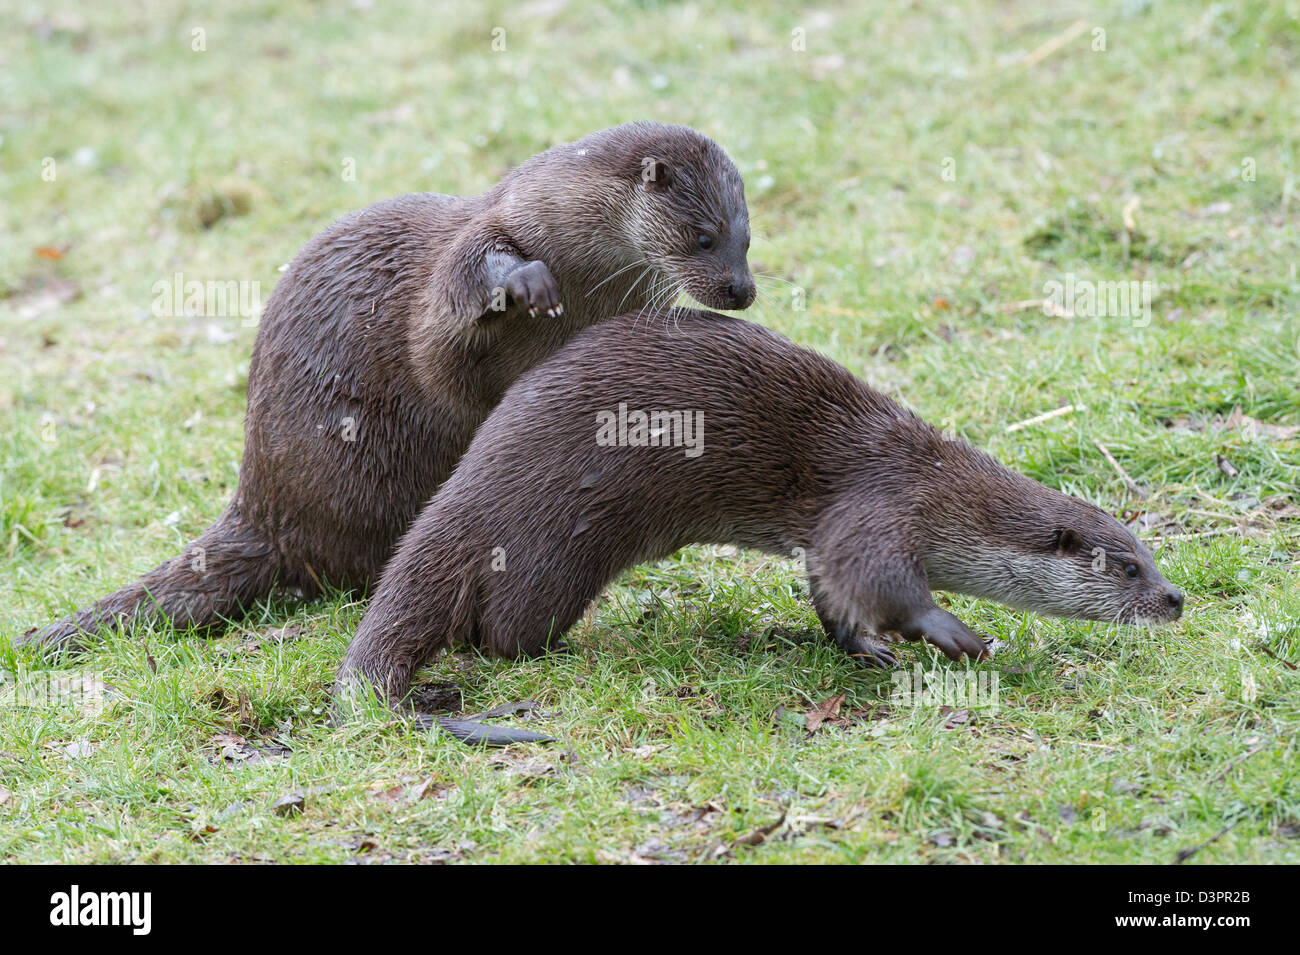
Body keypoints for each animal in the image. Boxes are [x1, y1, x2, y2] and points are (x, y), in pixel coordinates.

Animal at [30, 123, 759, 649]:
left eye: (747, 240)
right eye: (704, 236)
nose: (742, 290)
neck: (584, 277)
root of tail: (262, 504)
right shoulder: (462, 261)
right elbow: (446, 337)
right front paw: (524, 281)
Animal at [338, 306, 1190, 738]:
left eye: (1150, 553)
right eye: (1126, 566)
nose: (1176, 598)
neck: (944, 491)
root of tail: (471, 486)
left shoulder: (834, 535)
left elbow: (833, 590)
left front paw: (864, 647)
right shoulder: (882, 505)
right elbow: (876, 575)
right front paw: (951, 631)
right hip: (556, 543)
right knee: (505, 631)